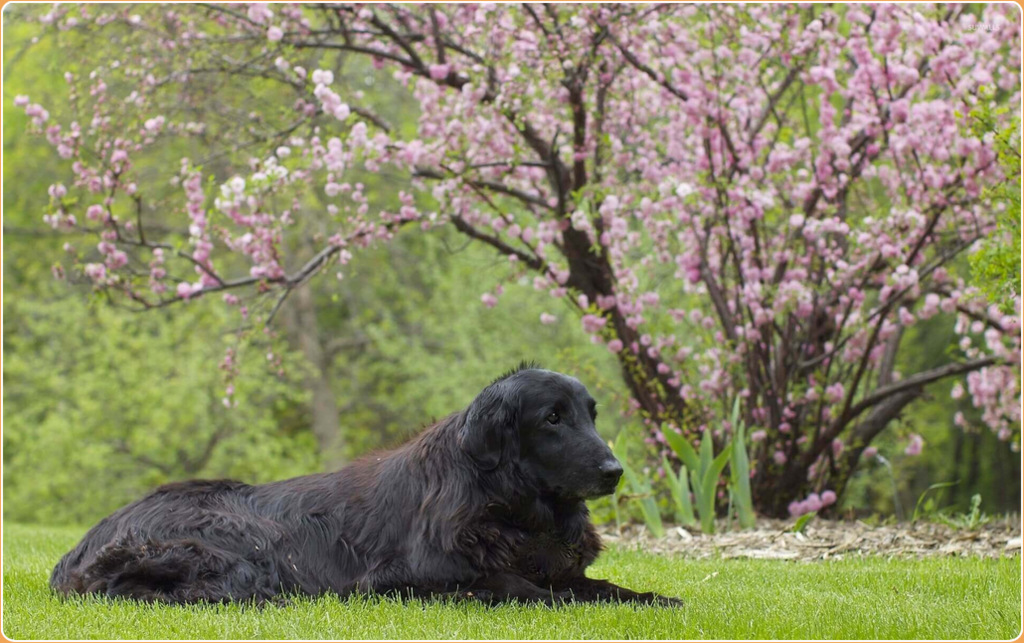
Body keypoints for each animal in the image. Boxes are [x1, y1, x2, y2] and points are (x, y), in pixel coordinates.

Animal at [51, 364, 684, 606]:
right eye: (552, 418)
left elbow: (603, 586)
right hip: (242, 546)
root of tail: (78, 548)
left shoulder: (561, 564)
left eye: (590, 415)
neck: (510, 509)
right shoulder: (399, 578)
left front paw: (655, 598)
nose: (614, 471)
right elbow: (519, 586)